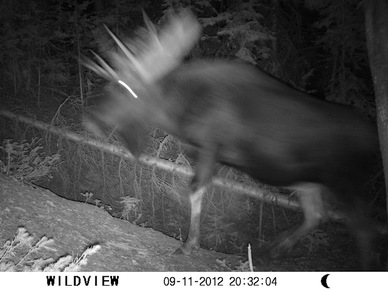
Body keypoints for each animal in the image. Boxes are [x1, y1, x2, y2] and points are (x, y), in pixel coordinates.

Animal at [82, 9, 378, 270]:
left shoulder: (211, 146)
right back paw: (273, 249)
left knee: (362, 225)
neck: (180, 113)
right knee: (318, 214)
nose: (91, 120)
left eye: (129, 93)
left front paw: (188, 245)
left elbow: (195, 188)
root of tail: (370, 135)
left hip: (345, 179)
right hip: (308, 180)